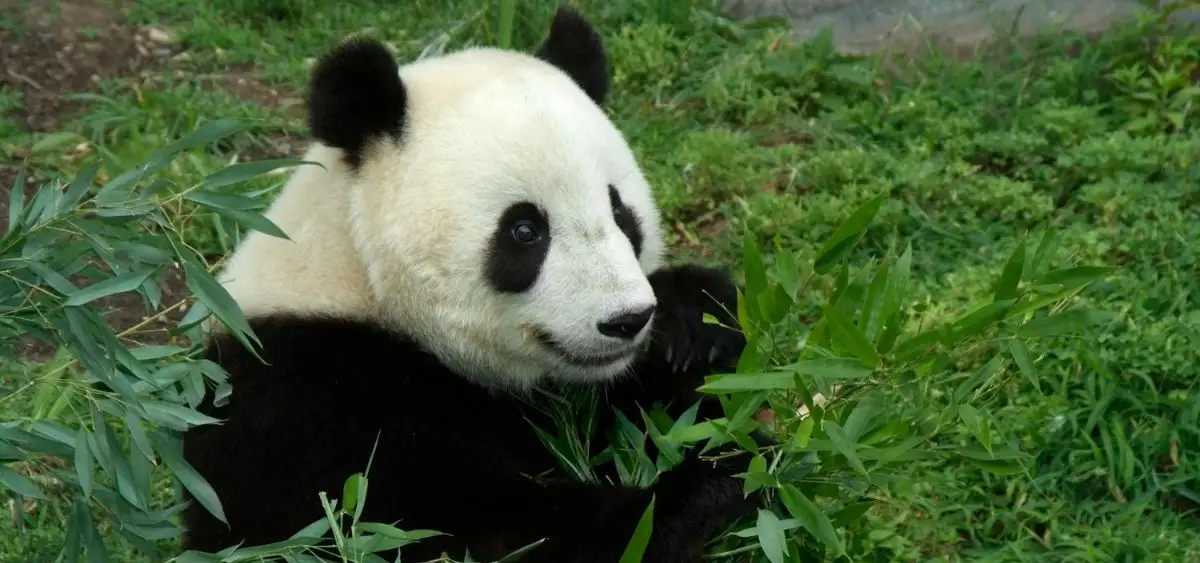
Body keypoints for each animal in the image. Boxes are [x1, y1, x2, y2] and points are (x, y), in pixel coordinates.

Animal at [180, 6, 766, 562]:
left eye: (621, 213)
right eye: (525, 230)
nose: (626, 320)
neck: (354, 277)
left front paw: (694, 327)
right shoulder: (300, 399)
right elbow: (448, 527)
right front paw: (695, 491)